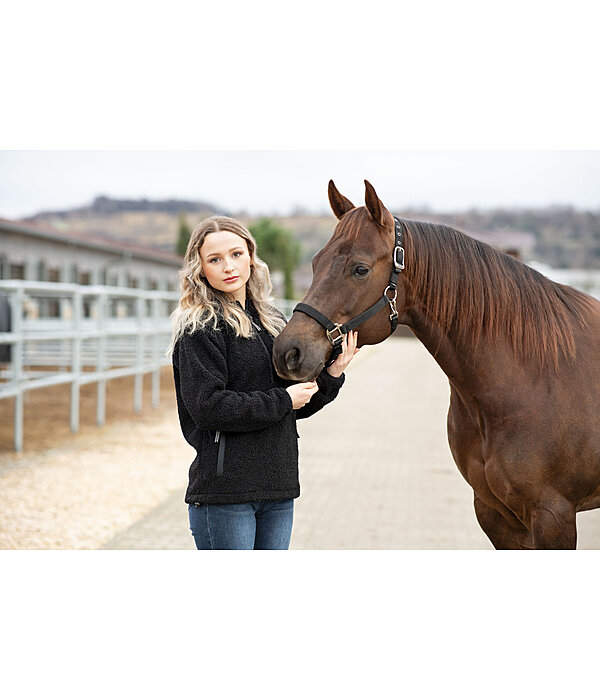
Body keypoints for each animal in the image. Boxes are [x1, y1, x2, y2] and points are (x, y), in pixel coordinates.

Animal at [272, 182, 600, 552]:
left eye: (361, 269)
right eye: (316, 263)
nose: (288, 352)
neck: (532, 378)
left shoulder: (553, 516)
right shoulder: (495, 514)